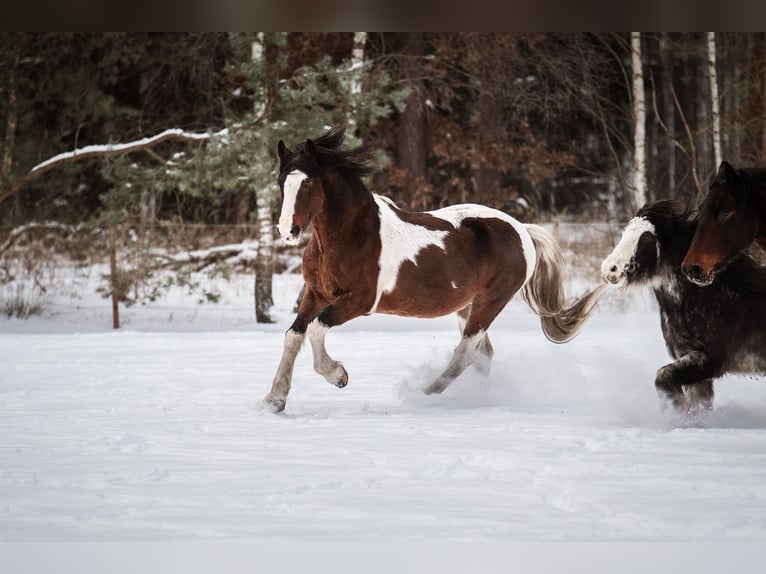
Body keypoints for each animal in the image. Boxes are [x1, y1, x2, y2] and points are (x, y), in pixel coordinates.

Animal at [263, 126, 604, 413]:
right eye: (281, 182)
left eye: (307, 181)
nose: (288, 230)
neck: (353, 234)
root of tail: (522, 230)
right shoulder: (316, 293)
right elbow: (294, 335)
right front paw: (274, 400)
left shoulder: (359, 301)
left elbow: (316, 328)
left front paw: (338, 375)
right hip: (468, 306)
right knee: (482, 354)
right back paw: (478, 397)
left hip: (490, 303)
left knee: (463, 354)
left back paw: (422, 395)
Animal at [601, 199, 766, 413]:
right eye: (624, 233)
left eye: (646, 238)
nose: (609, 269)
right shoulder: (692, 364)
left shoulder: (710, 360)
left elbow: (664, 377)